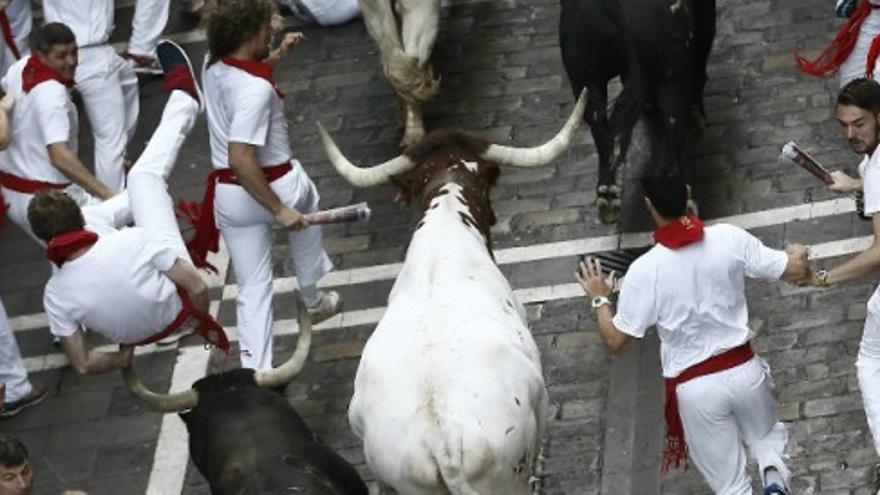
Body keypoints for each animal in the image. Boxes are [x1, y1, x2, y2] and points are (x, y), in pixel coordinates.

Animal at [564, 0, 716, 223]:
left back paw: (607, 195)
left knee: (601, 132)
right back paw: (687, 200)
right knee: (674, 128)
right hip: (671, 76)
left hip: (587, 81)